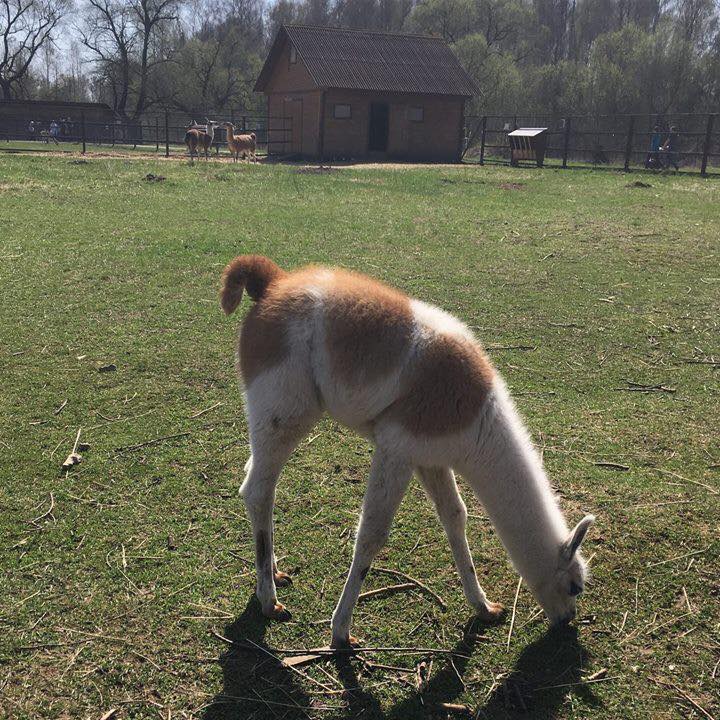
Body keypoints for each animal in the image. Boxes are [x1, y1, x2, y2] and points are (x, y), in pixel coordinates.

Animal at [220, 255, 595, 648]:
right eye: (575, 586)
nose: (567, 621)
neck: (476, 415)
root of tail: (272, 282)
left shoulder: (429, 456)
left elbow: (455, 516)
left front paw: (484, 607)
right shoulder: (396, 445)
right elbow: (372, 534)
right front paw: (341, 632)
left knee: (256, 480)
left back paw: (273, 572)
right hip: (286, 406)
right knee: (258, 491)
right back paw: (269, 600)